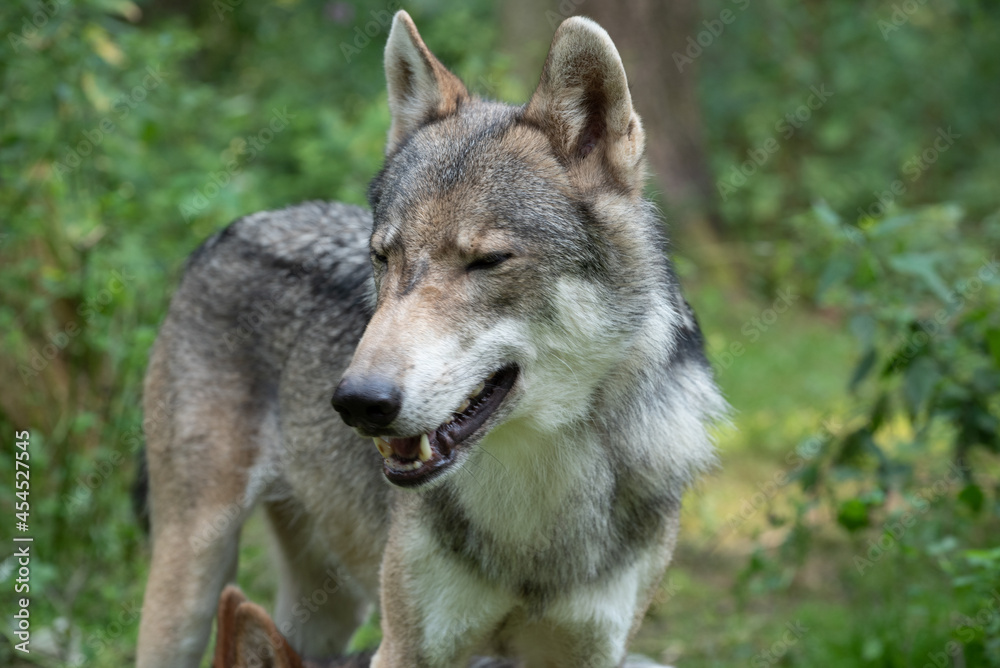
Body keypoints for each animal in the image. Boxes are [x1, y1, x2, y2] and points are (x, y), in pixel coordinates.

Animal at [137, 10, 724, 668]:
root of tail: (231, 230)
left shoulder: (592, 650)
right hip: (190, 581)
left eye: (487, 261)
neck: (536, 503)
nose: (358, 403)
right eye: (382, 257)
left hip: (328, 608)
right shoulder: (406, 648)